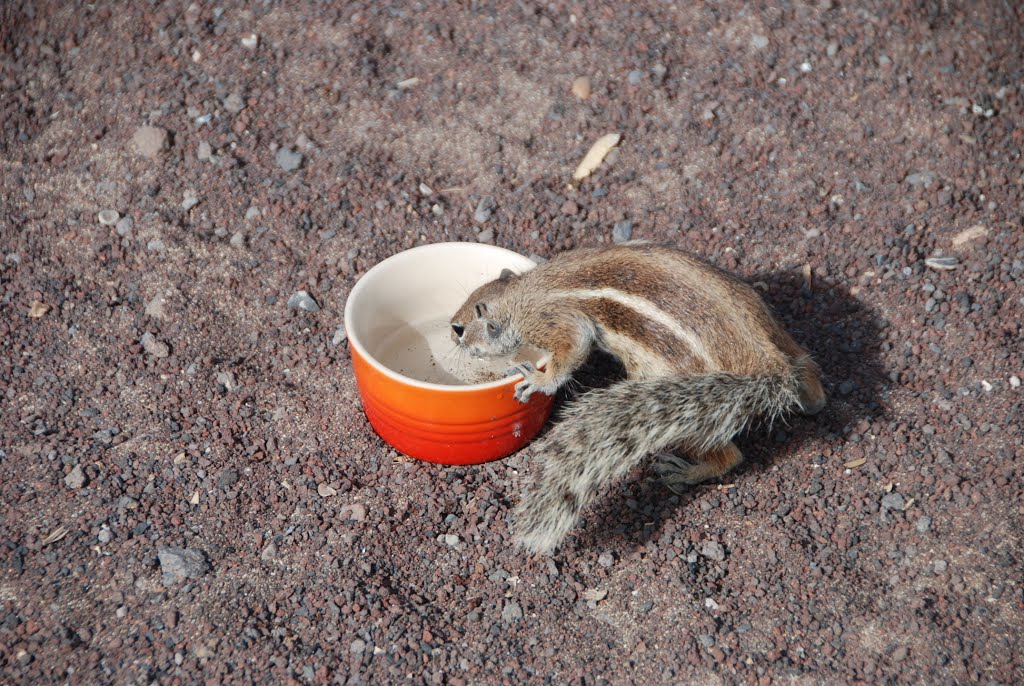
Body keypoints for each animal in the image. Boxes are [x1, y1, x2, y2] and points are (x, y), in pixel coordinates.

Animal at [452, 241, 827, 552]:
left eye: (460, 327)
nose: (452, 334)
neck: (520, 292)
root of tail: (767, 368)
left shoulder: (551, 321)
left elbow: (573, 344)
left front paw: (539, 380)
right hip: (770, 327)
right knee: (807, 369)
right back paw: (814, 397)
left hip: (678, 404)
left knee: (730, 456)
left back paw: (687, 471)